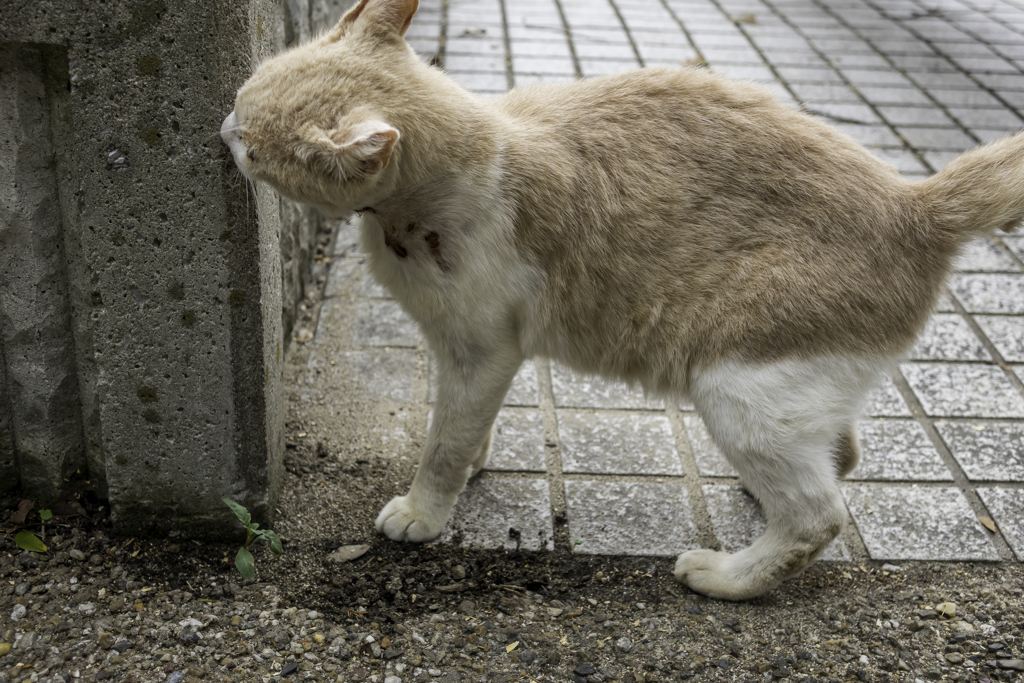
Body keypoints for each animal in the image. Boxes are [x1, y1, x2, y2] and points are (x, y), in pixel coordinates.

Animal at [224, 0, 1024, 598]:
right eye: (238, 100)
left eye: (254, 146)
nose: (225, 127)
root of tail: (913, 202)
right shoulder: (466, 354)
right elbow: (461, 422)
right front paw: (477, 456)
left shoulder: (484, 347)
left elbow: (443, 443)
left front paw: (424, 509)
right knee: (842, 451)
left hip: (738, 383)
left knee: (818, 515)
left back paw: (727, 574)